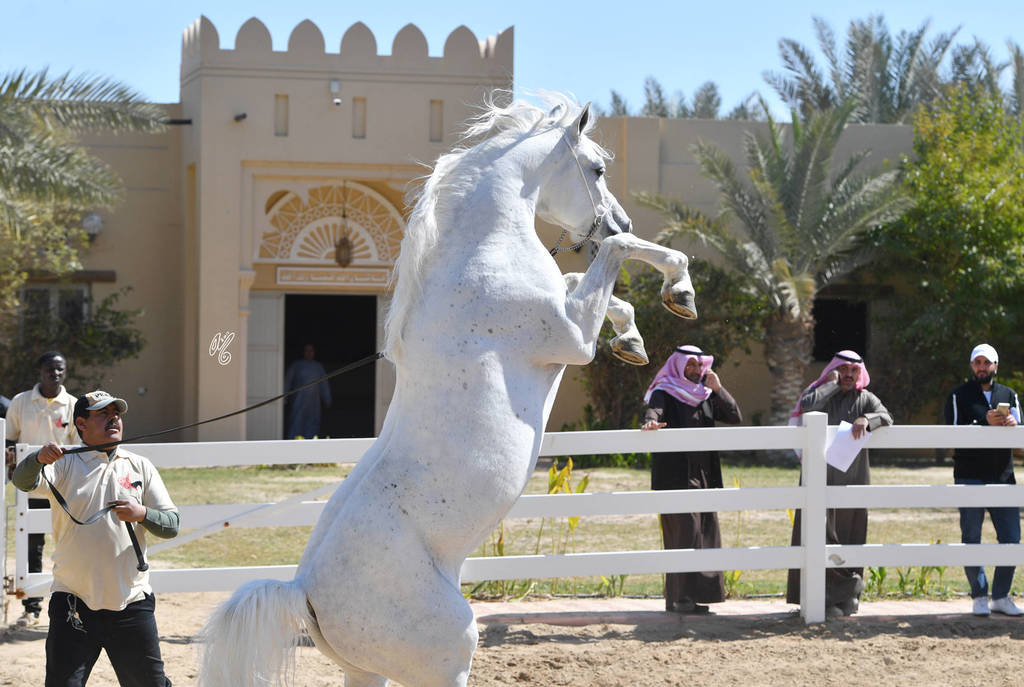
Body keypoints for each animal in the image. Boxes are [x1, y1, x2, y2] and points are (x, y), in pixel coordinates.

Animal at [198, 93, 697, 687]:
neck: (483, 253)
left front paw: (634, 341)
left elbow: (591, 279)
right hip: (451, 651)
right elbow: (616, 255)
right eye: (596, 168)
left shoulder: (572, 314)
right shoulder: (572, 339)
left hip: (366, 671)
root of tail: (303, 593)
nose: (617, 218)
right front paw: (679, 289)